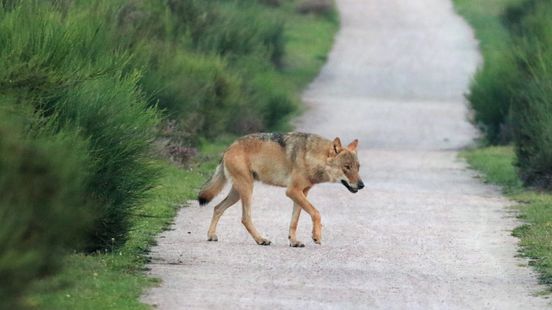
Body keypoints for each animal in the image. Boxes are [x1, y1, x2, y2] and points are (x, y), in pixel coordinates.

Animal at [197, 131, 362, 247]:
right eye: (347, 167)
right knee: (245, 218)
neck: (311, 157)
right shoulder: (292, 191)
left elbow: (294, 221)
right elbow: (316, 213)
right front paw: (316, 236)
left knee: (217, 208)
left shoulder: (302, 193)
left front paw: (294, 242)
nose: (362, 185)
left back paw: (211, 235)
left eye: (358, 167)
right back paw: (261, 240)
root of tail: (229, 147)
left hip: (237, 193)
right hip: (247, 190)